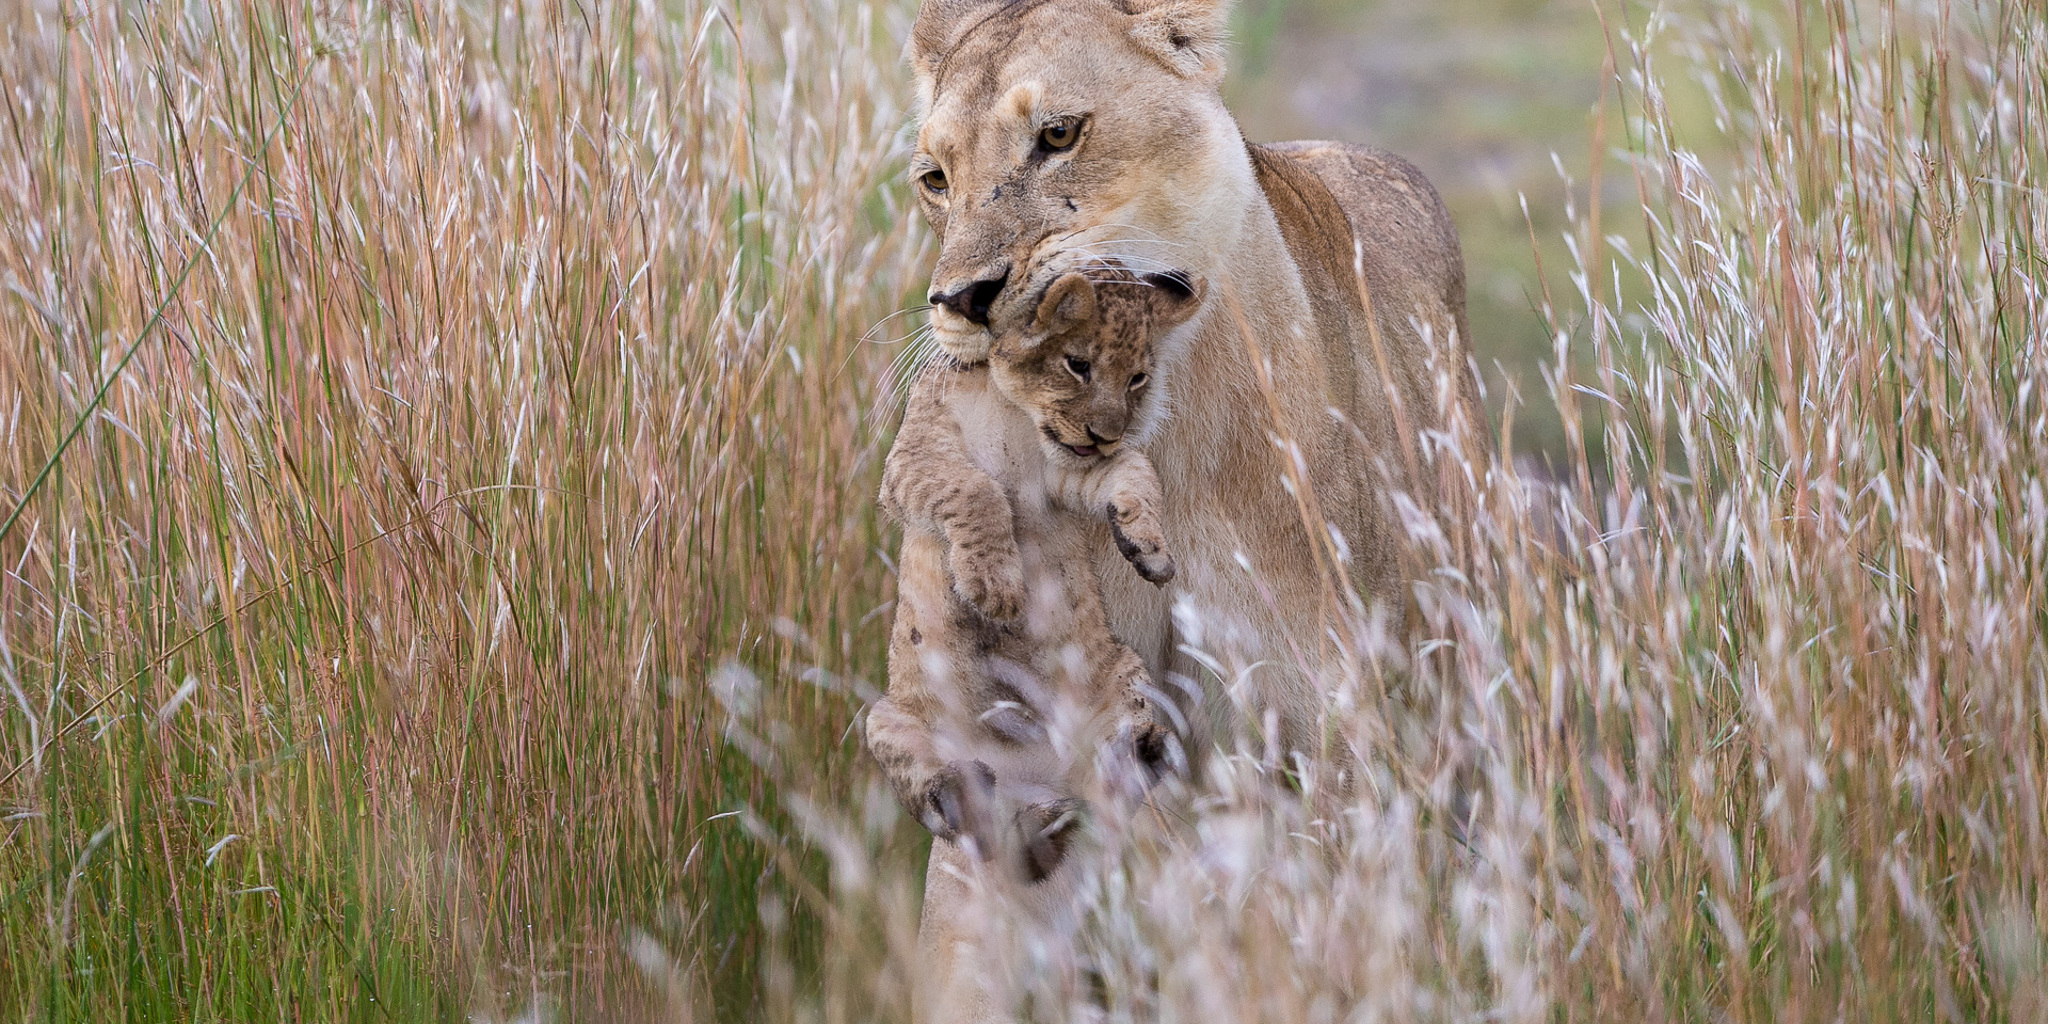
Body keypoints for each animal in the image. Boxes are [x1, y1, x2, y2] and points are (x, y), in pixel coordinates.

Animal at [866, 268, 1204, 885]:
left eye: (1137, 378)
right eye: (1078, 364)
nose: (1105, 434)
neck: (1006, 402)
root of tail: (1043, 776)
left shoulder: (1067, 475)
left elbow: (1136, 471)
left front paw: (1149, 550)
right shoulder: (912, 460)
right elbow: (976, 488)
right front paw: (995, 590)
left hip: (1124, 677)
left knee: (1095, 795)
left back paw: (1132, 761)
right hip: (888, 718)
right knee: (954, 812)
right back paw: (965, 798)